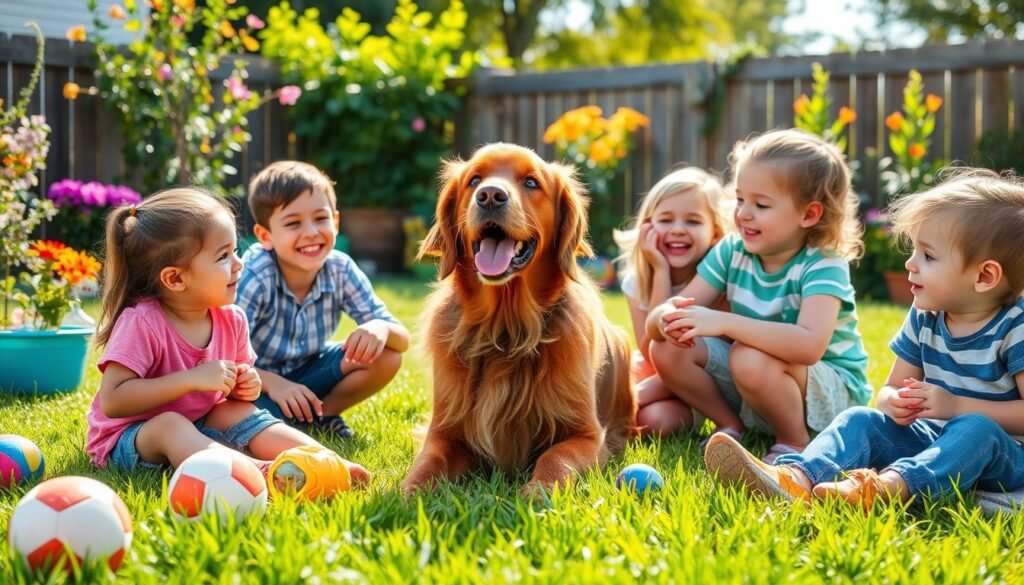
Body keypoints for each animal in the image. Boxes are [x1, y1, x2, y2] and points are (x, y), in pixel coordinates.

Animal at [397, 143, 630, 499]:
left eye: (531, 182)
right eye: (474, 180)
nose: (490, 195)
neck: (505, 329)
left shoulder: (586, 435)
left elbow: (556, 457)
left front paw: (538, 491)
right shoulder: (444, 432)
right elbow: (428, 463)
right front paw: (405, 495)